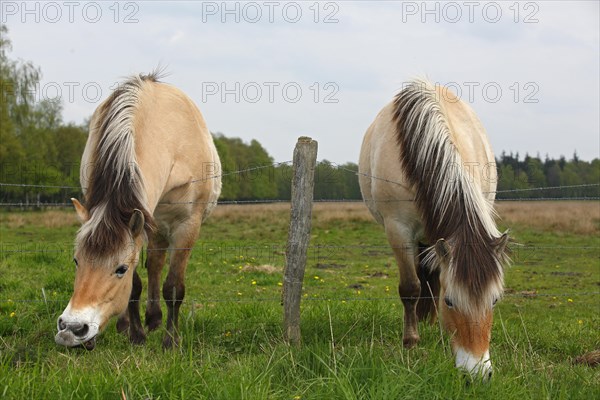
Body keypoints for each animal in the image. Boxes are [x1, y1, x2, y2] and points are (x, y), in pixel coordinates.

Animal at [54, 73, 220, 348]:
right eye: (76, 260)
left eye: (120, 268)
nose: (73, 329)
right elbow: (135, 285)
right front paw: (136, 334)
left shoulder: (186, 225)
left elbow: (173, 287)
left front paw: (171, 341)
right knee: (153, 264)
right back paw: (137, 322)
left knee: (156, 263)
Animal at [358, 78, 508, 378]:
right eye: (450, 301)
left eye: (495, 301)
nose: (477, 373)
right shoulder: (398, 230)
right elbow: (410, 288)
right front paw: (410, 342)